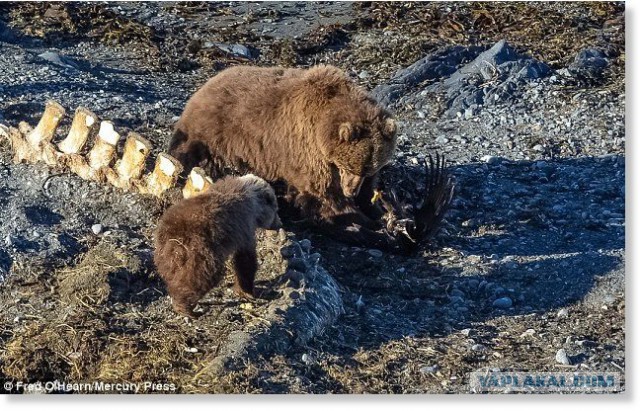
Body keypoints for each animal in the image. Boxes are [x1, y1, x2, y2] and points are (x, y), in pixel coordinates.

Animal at [153, 174, 282, 317]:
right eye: (276, 209)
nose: (280, 223)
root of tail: (172, 238)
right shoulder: (244, 225)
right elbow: (245, 260)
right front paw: (248, 291)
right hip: (200, 251)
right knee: (201, 277)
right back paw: (186, 308)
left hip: (165, 257)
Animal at [168, 65, 398, 231]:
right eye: (346, 167)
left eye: (367, 169)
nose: (351, 190)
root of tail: (202, 89)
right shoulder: (306, 148)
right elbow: (323, 196)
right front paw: (365, 222)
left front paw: (379, 210)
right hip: (213, 135)